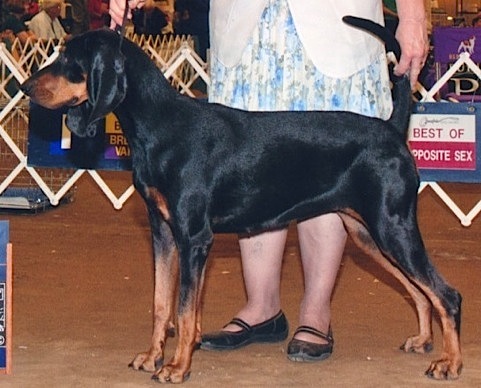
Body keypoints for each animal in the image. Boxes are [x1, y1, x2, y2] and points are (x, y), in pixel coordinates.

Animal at [21, 18, 462, 382]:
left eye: (69, 59)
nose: (25, 87)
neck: (160, 125)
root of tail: (393, 129)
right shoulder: (163, 232)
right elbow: (162, 303)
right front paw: (152, 356)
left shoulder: (194, 238)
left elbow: (184, 310)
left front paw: (177, 367)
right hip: (367, 233)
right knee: (418, 290)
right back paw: (423, 340)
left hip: (392, 227)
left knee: (446, 294)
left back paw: (450, 363)